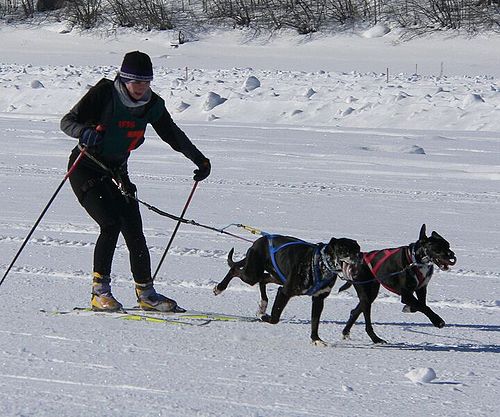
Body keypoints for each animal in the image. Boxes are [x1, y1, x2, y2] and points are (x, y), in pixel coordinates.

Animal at [213, 234, 362, 344]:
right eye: (344, 250)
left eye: (358, 250)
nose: (359, 257)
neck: (321, 264)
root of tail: (258, 241)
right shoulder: (284, 292)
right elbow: (274, 318)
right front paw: (262, 316)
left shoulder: (319, 299)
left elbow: (315, 321)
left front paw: (316, 340)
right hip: (252, 275)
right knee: (234, 270)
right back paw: (220, 287)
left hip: (276, 277)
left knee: (263, 279)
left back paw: (263, 304)